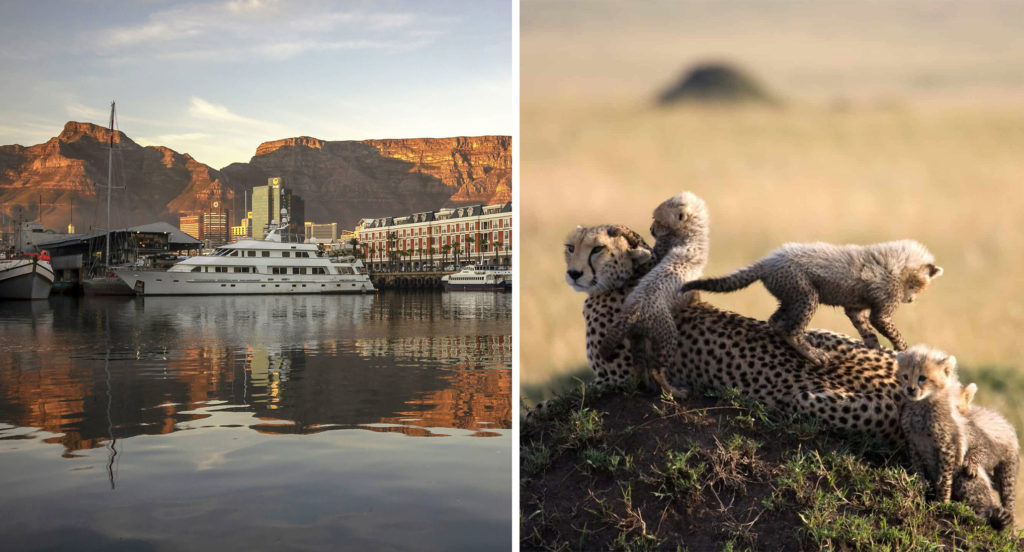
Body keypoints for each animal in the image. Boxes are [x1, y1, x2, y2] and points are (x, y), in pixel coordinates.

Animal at [561, 222, 905, 438]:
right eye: (570, 247)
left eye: (598, 249)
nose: (573, 274)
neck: (631, 276)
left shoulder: (614, 381)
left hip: (805, 400)